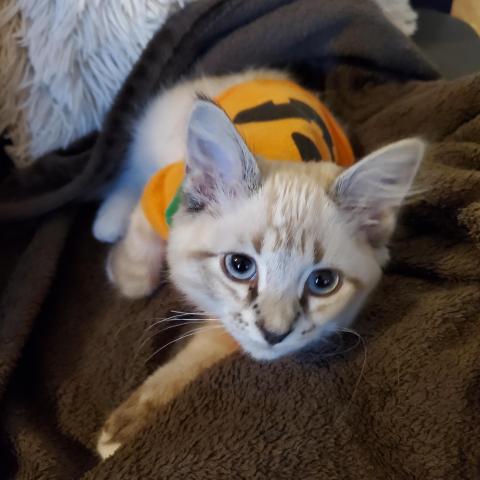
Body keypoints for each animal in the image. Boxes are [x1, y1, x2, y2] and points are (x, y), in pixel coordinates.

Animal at [94, 69, 425, 458]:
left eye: (322, 282)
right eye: (239, 266)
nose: (275, 333)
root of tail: (268, 74)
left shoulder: (231, 331)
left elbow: (202, 354)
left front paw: (131, 420)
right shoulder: (163, 193)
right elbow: (138, 274)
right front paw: (120, 266)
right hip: (158, 132)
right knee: (131, 173)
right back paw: (106, 220)